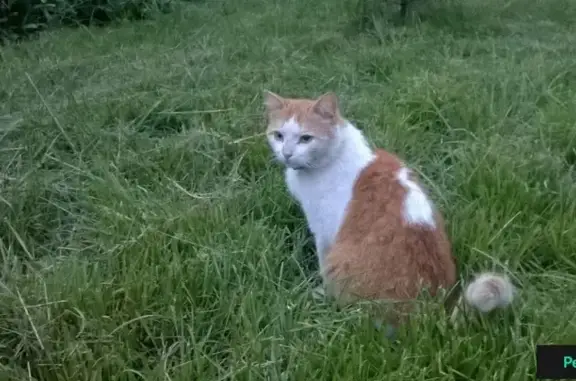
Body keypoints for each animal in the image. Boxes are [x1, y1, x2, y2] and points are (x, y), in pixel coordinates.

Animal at [264, 90, 516, 334]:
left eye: (306, 138)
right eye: (278, 135)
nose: (286, 153)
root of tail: (431, 314)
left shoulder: (324, 233)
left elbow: (322, 264)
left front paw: (321, 292)